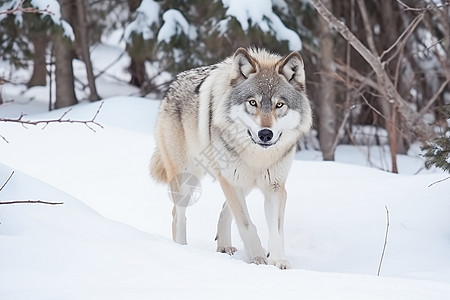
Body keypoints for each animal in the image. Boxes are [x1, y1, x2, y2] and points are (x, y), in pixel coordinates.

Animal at [149, 47, 312, 270]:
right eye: (253, 102)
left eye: (279, 104)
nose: (265, 134)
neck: (258, 156)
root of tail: (173, 83)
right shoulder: (232, 182)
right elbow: (246, 223)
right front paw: (258, 257)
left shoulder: (275, 188)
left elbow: (276, 230)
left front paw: (278, 260)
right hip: (187, 181)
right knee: (177, 215)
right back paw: (182, 249)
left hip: (241, 183)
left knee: (225, 210)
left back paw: (224, 245)